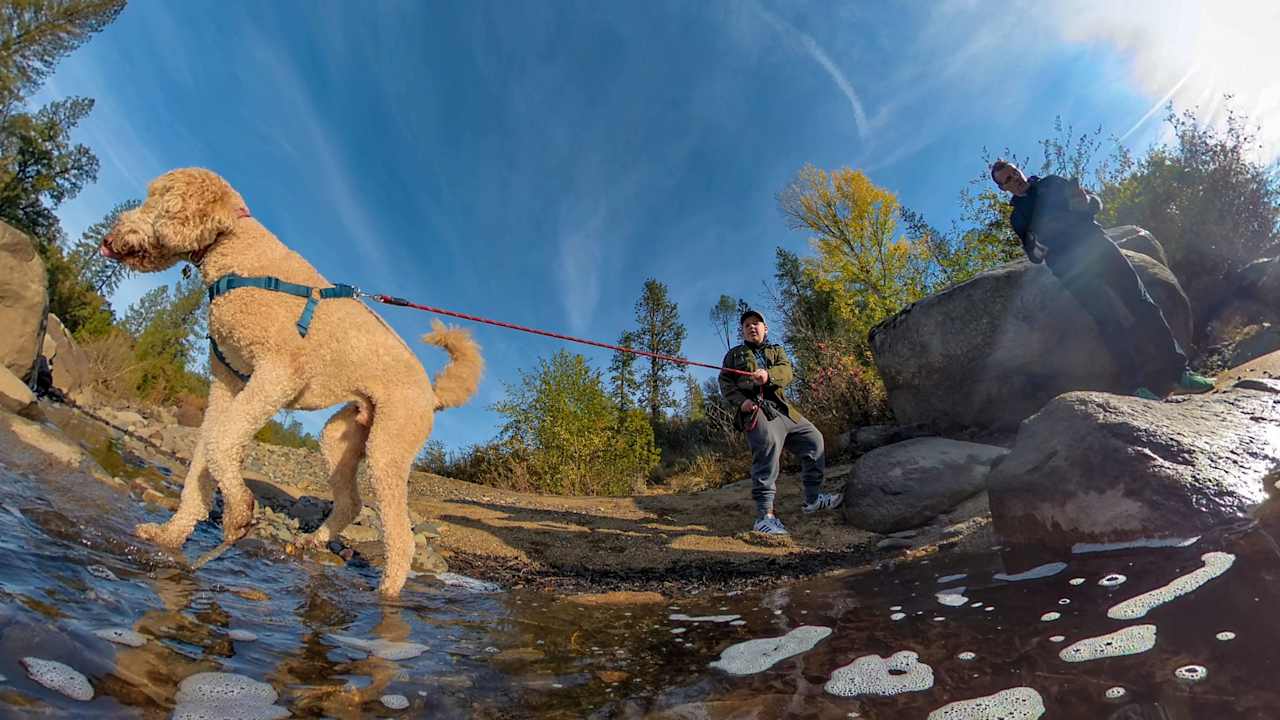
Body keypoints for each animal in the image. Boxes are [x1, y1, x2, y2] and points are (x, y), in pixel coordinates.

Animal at [102, 167, 481, 594]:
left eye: (156, 199)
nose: (108, 239)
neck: (239, 253)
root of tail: (431, 394)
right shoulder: (226, 383)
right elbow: (205, 455)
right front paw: (170, 535)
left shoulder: (276, 375)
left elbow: (222, 443)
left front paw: (239, 512)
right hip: (340, 436)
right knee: (350, 503)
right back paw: (312, 542)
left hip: (388, 449)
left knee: (400, 536)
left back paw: (386, 594)